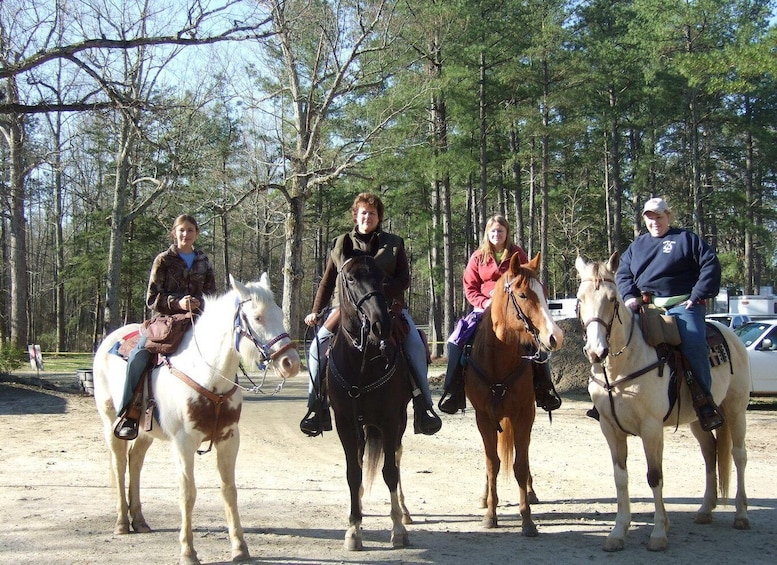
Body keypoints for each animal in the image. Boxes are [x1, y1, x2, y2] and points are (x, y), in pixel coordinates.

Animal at [90, 274, 298, 564]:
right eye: (257, 318)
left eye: (279, 313)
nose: (292, 363)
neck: (208, 375)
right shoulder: (184, 443)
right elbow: (188, 494)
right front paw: (188, 551)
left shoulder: (229, 439)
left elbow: (229, 490)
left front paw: (240, 547)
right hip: (111, 423)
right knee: (120, 464)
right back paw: (122, 522)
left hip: (144, 431)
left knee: (136, 462)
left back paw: (139, 520)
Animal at [326, 238, 416, 552]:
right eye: (351, 278)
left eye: (382, 278)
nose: (381, 325)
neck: (361, 364)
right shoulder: (345, 422)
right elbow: (353, 472)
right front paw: (354, 529)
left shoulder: (390, 419)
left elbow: (390, 471)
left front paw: (398, 530)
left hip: (397, 422)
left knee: (397, 458)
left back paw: (404, 511)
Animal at [460, 253, 564, 536]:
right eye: (523, 294)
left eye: (545, 293)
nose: (556, 337)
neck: (499, 358)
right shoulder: (484, 417)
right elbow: (492, 463)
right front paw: (490, 514)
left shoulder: (524, 415)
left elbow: (520, 465)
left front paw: (527, 519)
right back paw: (485, 495)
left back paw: (531, 491)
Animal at [572, 252, 748, 552]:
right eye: (580, 299)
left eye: (613, 299)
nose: (596, 351)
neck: (623, 365)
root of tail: (731, 334)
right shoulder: (610, 428)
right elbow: (620, 478)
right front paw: (618, 532)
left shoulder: (651, 428)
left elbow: (654, 476)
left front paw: (658, 534)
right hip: (698, 419)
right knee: (710, 452)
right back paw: (705, 510)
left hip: (737, 410)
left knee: (738, 455)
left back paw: (741, 515)